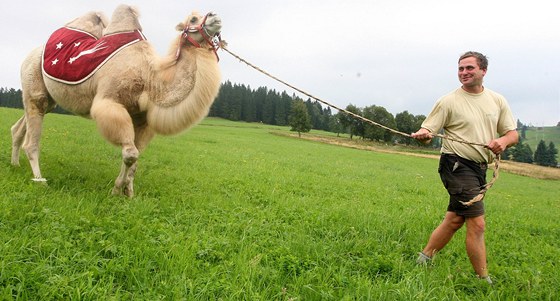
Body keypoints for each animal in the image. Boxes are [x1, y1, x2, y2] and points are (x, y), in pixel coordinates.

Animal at [10, 5, 221, 197]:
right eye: (193, 18)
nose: (215, 16)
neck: (150, 78)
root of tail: (31, 53)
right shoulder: (110, 102)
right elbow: (131, 154)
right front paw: (117, 189)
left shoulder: (141, 118)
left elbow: (135, 156)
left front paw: (128, 192)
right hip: (33, 84)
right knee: (32, 139)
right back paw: (40, 181)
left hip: (49, 99)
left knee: (22, 125)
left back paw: (15, 164)